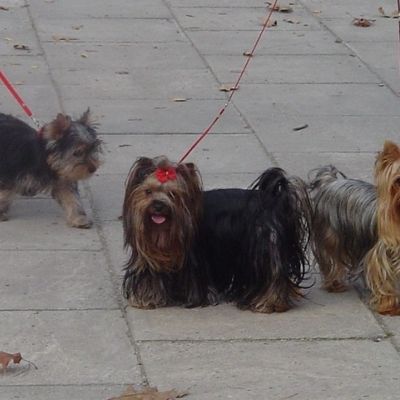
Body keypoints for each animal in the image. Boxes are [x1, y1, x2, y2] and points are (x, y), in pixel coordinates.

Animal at [122, 156, 311, 313]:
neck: (164, 232)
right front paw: (147, 299)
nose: (158, 205)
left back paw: (268, 303)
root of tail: (274, 200)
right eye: (147, 191)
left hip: (265, 244)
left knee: (272, 273)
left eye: (172, 194)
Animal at [309, 140, 400, 315]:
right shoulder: (381, 255)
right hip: (331, 236)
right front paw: (389, 306)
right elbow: (384, 279)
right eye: (398, 180)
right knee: (331, 259)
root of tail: (331, 181)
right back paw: (335, 284)